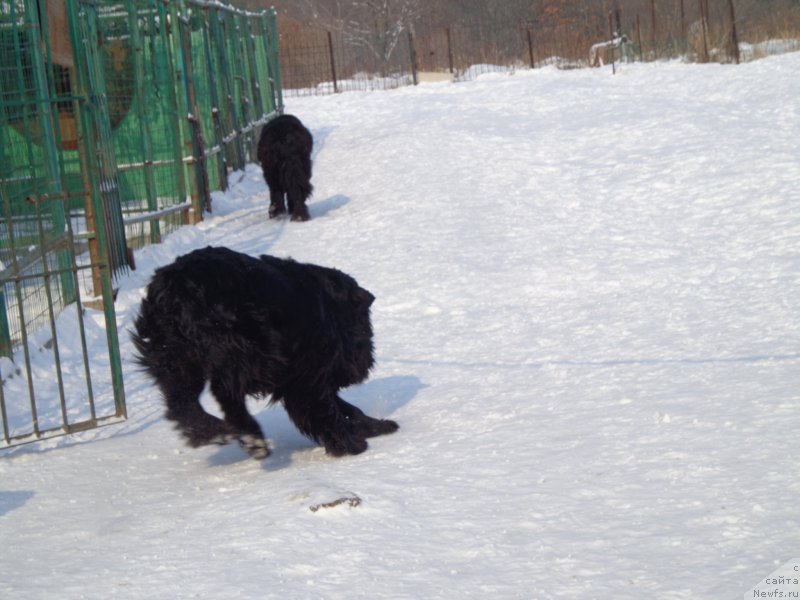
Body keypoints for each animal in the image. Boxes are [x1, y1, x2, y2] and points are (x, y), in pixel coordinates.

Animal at [133, 247, 398, 460]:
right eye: (364, 326)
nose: (365, 366)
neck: (327, 307)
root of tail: (175, 288)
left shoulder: (302, 380)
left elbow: (349, 409)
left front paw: (376, 426)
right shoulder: (306, 380)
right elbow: (329, 411)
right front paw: (350, 444)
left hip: (176, 359)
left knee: (181, 401)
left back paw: (212, 431)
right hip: (240, 351)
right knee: (222, 393)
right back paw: (250, 437)